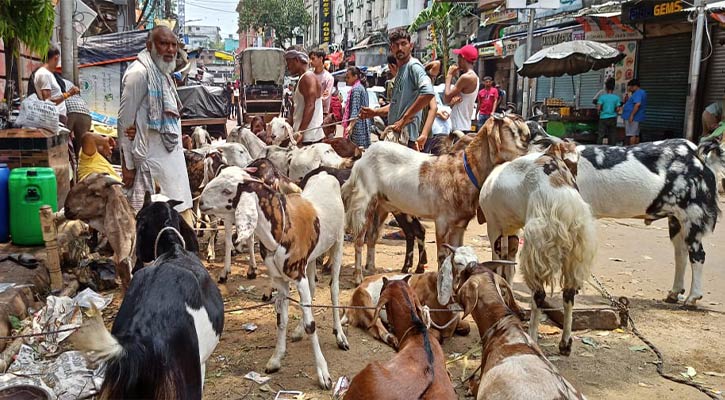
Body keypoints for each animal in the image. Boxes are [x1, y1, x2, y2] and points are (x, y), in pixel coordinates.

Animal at [198, 170, 348, 390]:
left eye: (227, 190)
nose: (200, 202)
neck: (281, 229)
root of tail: (326, 172)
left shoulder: (298, 276)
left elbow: (312, 325)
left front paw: (323, 373)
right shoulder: (280, 280)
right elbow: (281, 319)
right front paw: (276, 359)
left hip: (338, 242)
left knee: (334, 288)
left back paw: (340, 336)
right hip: (312, 257)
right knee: (313, 288)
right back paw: (298, 331)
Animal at [480, 142, 592, 354]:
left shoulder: (495, 227)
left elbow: (500, 267)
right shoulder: (511, 230)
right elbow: (508, 267)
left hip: (538, 246)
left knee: (539, 294)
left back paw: (532, 337)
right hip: (575, 250)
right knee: (569, 293)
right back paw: (565, 343)